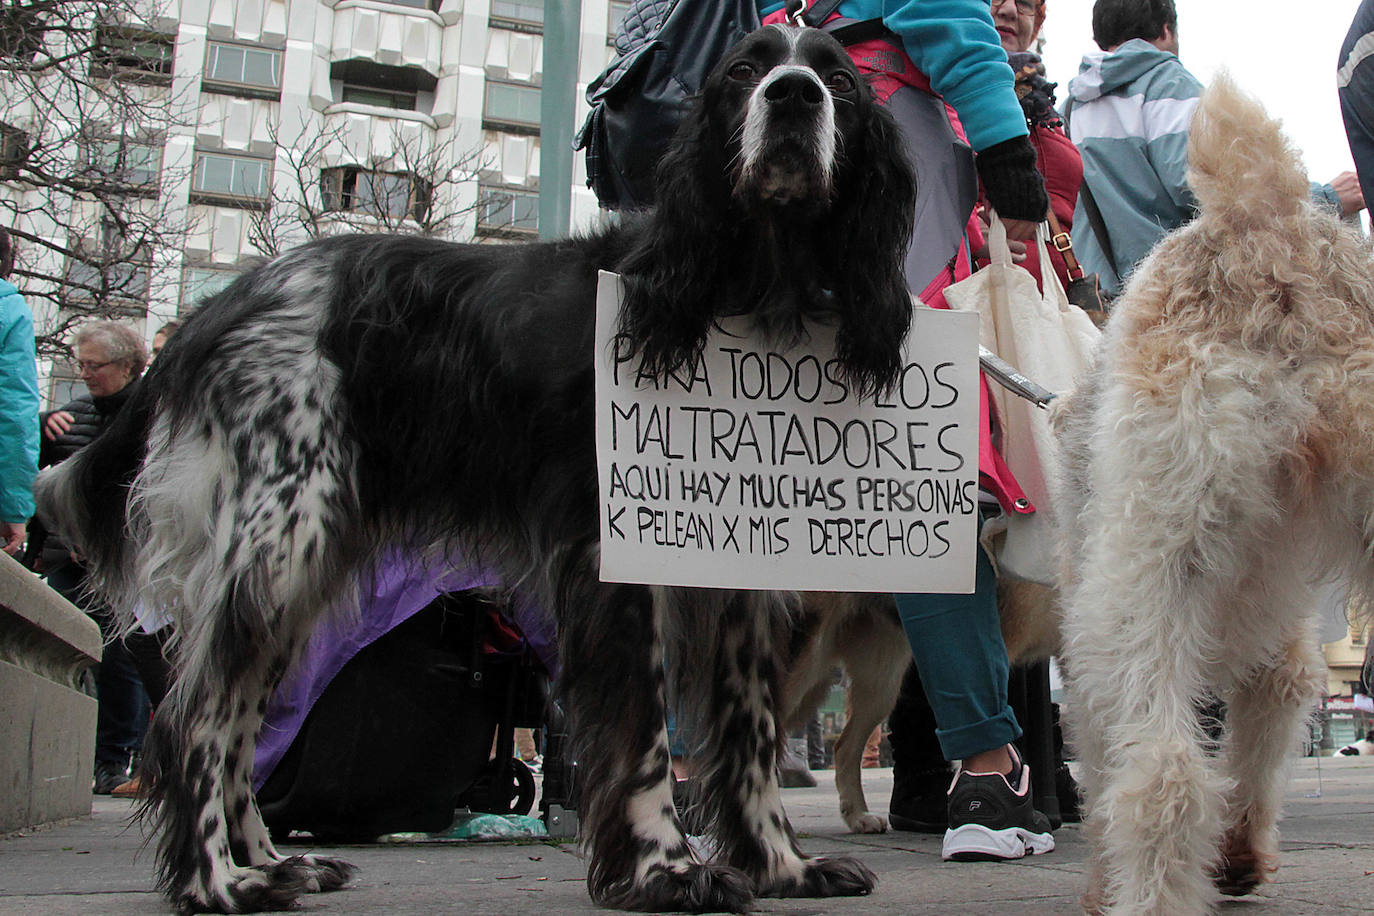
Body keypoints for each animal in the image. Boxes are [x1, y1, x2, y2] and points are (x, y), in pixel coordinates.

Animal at [40, 21, 923, 916]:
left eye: (840, 82)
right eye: (745, 70)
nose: (793, 97)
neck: (745, 283)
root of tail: (218, 306)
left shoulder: (740, 567)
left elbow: (751, 734)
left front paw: (782, 866)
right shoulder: (618, 558)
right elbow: (642, 734)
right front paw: (667, 871)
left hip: (300, 569)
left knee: (242, 722)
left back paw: (271, 864)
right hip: (278, 544)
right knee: (195, 722)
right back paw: (219, 882)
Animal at [1055, 73, 1368, 916]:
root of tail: (1264, 222)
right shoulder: (1282, 641)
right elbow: (1268, 719)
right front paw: (1239, 856)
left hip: (1143, 577)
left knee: (1162, 771)